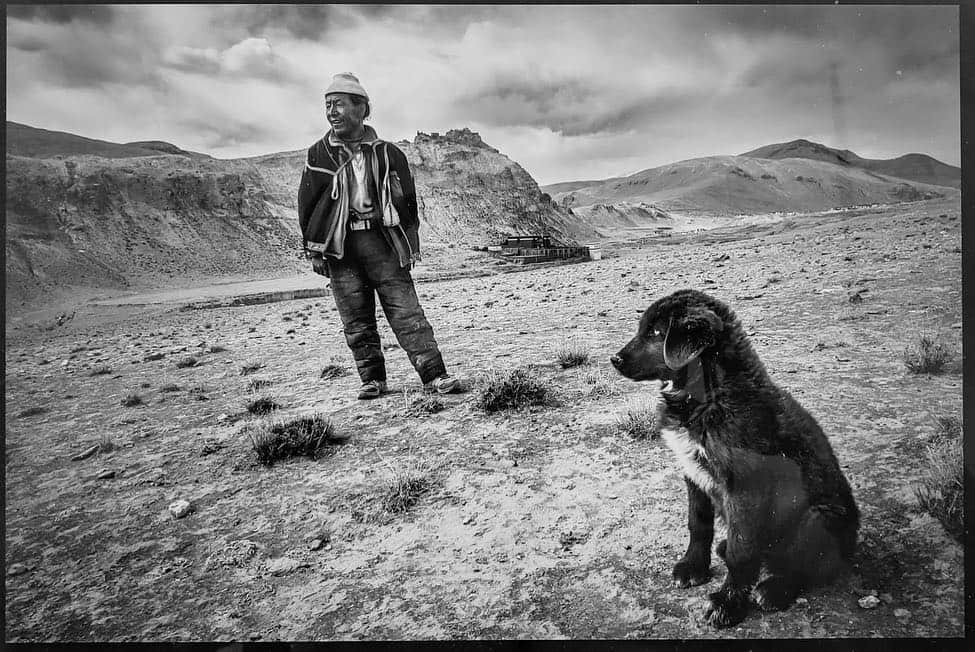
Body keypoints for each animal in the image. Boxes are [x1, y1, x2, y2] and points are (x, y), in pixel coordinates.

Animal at [612, 290, 856, 628]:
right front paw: (693, 567)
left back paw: (775, 589)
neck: (708, 396)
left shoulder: (745, 487)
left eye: (657, 333)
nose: (615, 359)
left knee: (803, 566)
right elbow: (698, 523)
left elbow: (743, 551)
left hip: (818, 517)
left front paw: (728, 603)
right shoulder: (693, 471)